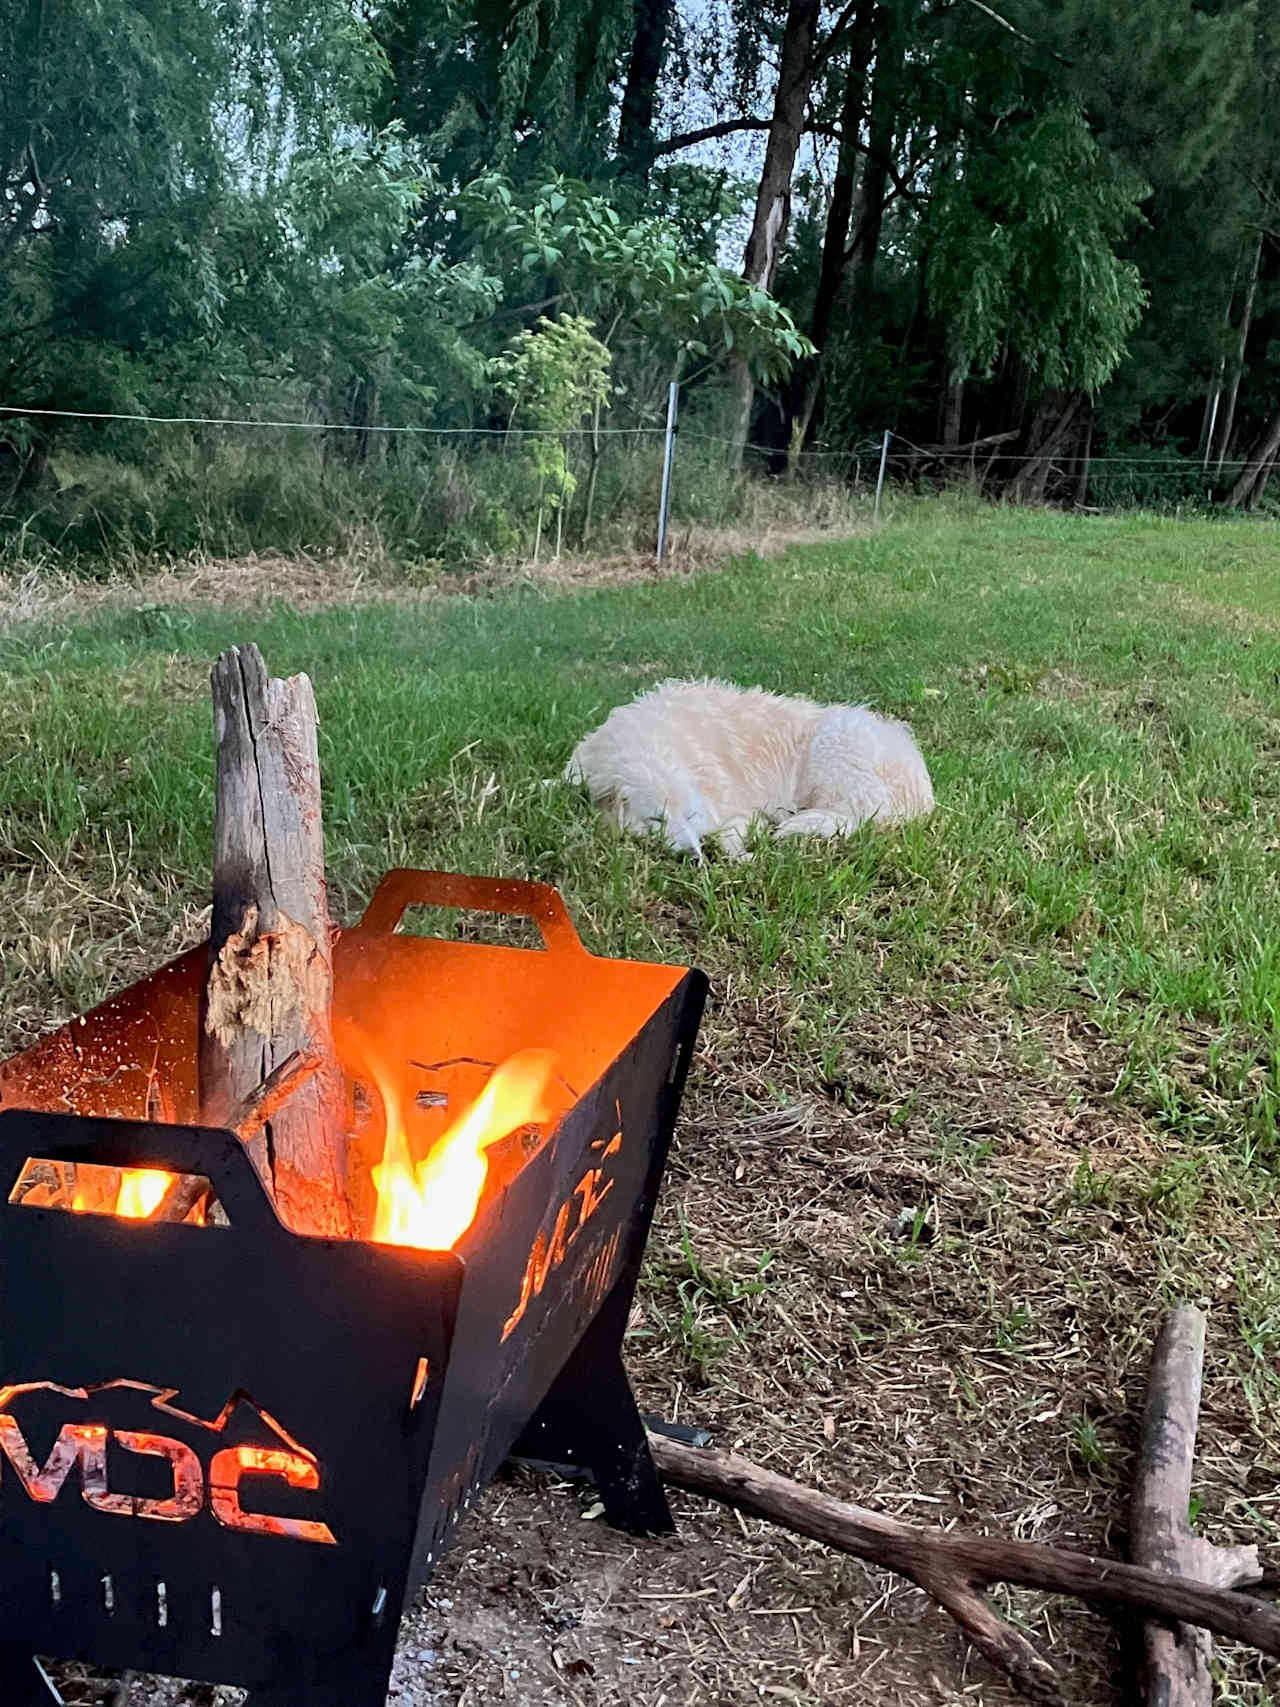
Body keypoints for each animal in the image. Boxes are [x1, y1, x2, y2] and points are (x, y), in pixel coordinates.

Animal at [566, 679, 935, 860]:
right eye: (655, 819)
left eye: (690, 816)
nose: (692, 857)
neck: (652, 742)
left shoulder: (735, 807)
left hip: (836, 743)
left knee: (853, 815)